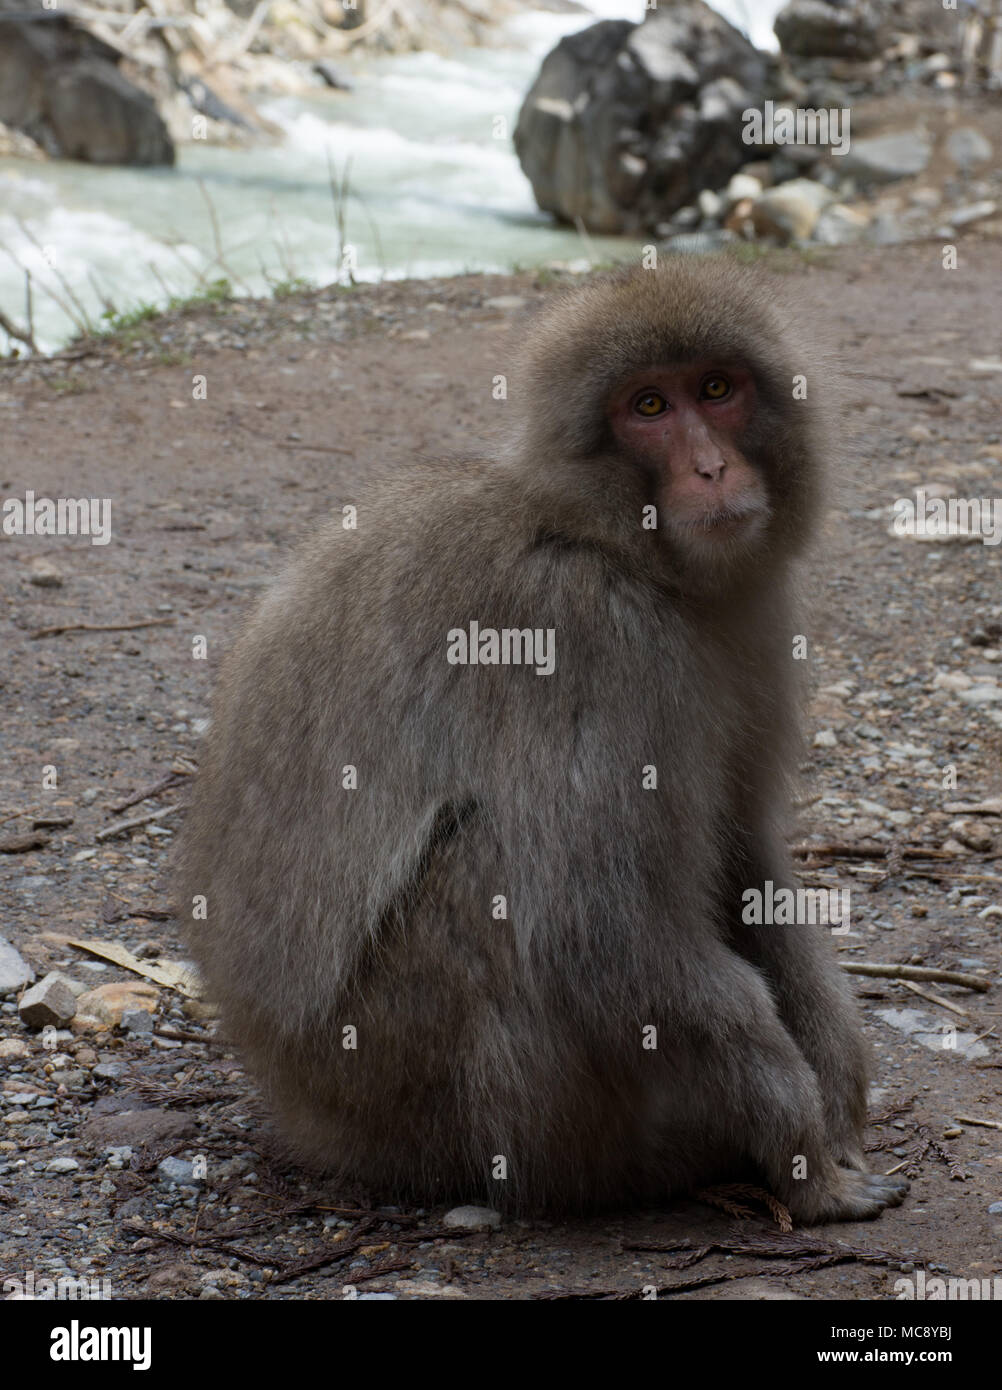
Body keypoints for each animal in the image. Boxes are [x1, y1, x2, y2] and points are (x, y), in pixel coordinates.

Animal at [177, 255, 906, 1223]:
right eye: (648, 407)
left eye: (717, 389)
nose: (712, 467)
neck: (615, 545)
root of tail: (306, 1118)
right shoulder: (590, 634)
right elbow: (595, 929)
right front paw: (803, 1152)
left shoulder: (753, 618)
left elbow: (743, 859)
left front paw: (838, 1080)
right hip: (434, 1093)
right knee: (499, 874)